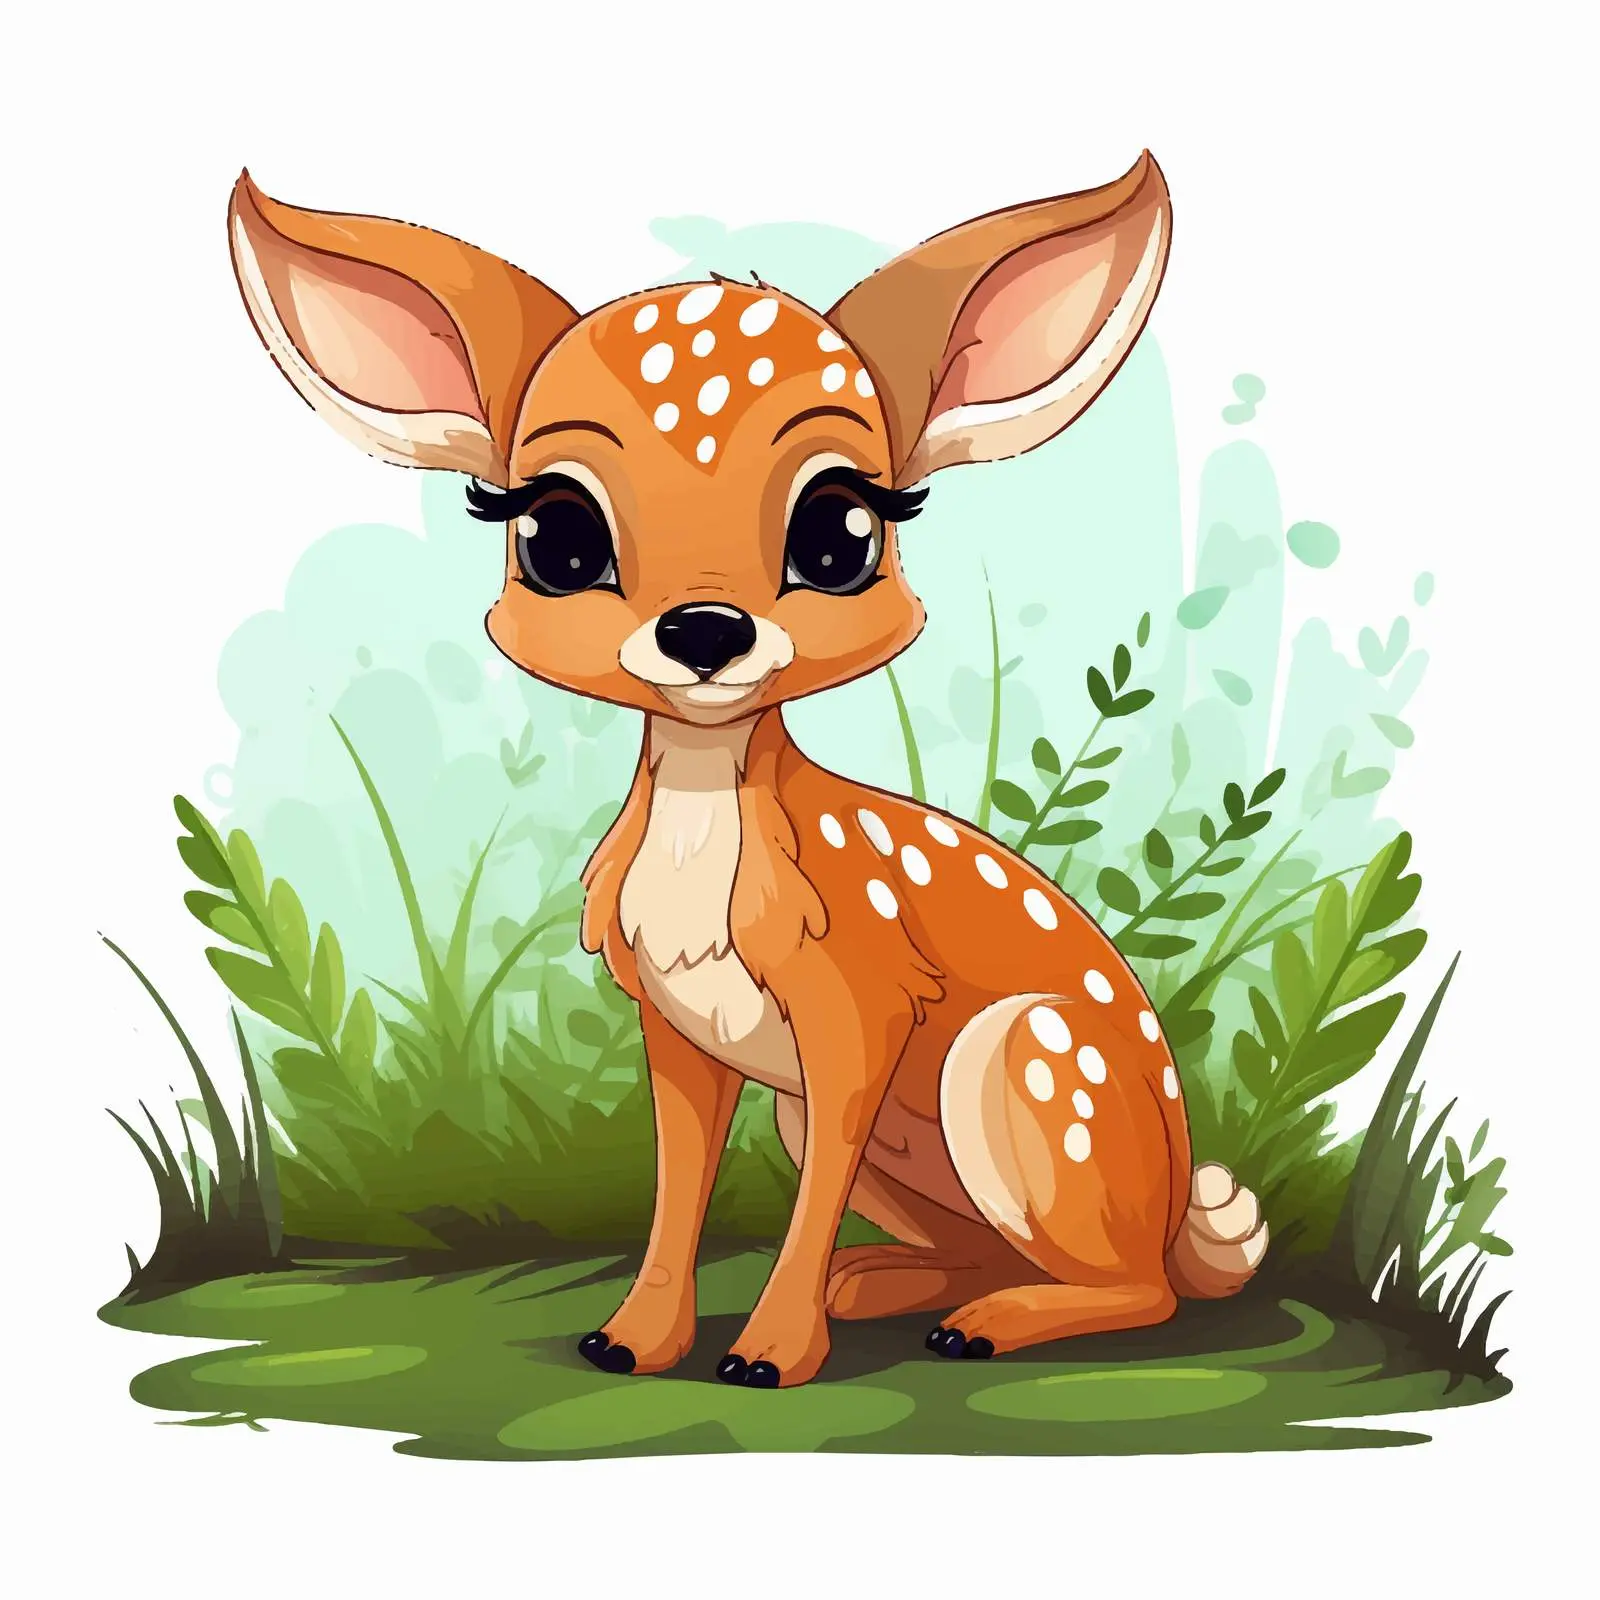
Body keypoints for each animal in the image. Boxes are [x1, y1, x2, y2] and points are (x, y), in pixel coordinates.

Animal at [228, 152, 1267, 1390]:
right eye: (555, 536)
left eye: (843, 529)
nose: (705, 630)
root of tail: (1179, 1212)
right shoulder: (676, 1029)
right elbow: (678, 1185)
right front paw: (631, 1342)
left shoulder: (859, 1003)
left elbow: (802, 1198)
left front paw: (768, 1357)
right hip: (834, 1118)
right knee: (995, 1252)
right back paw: (888, 1286)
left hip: (1025, 1060)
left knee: (1140, 1291)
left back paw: (983, 1323)